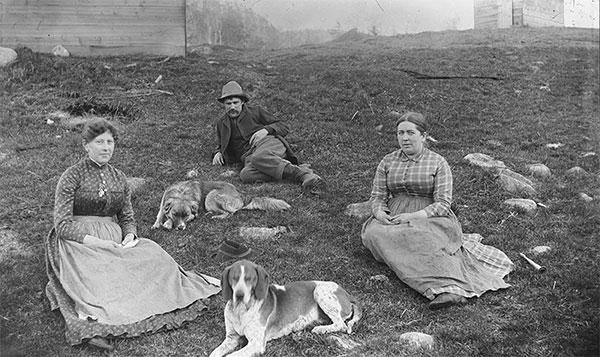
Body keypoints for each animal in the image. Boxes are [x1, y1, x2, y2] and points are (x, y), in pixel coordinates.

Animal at [151, 181, 290, 231]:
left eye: (186, 215)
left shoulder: (193, 214)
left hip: (211, 196)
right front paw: (159, 223)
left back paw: (216, 217)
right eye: (175, 214)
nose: (180, 228)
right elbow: (160, 214)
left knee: (230, 213)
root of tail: (240, 193)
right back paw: (210, 213)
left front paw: (167, 223)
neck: (181, 193)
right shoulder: (163, 203)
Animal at [211, 258, 360, 356]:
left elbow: (232, 355)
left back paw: (320, 329)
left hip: (320, 291)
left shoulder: (256, 343)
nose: (239, 295)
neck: (240, 310)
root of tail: (347, 293)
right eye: (234, 278)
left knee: (341, 324)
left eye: (250, 278)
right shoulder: (231, 338)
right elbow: (214, 353)